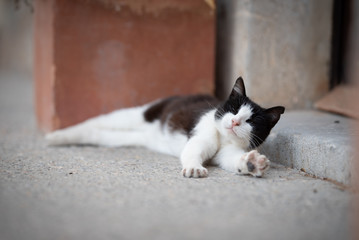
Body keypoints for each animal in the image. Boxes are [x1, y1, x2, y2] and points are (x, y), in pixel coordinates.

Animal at [46, 77, 286, 178]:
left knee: (97, 134)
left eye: (251, 121)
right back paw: (55, 137)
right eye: (234, 109)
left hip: (132, 138)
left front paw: (252, 164)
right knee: (97, 122)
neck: (222, 137)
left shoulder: (229, 151)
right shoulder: (201, 133)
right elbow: (193, 150)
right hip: (141, 114)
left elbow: (231, 159)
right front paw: (194, 167)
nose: (235, 122)